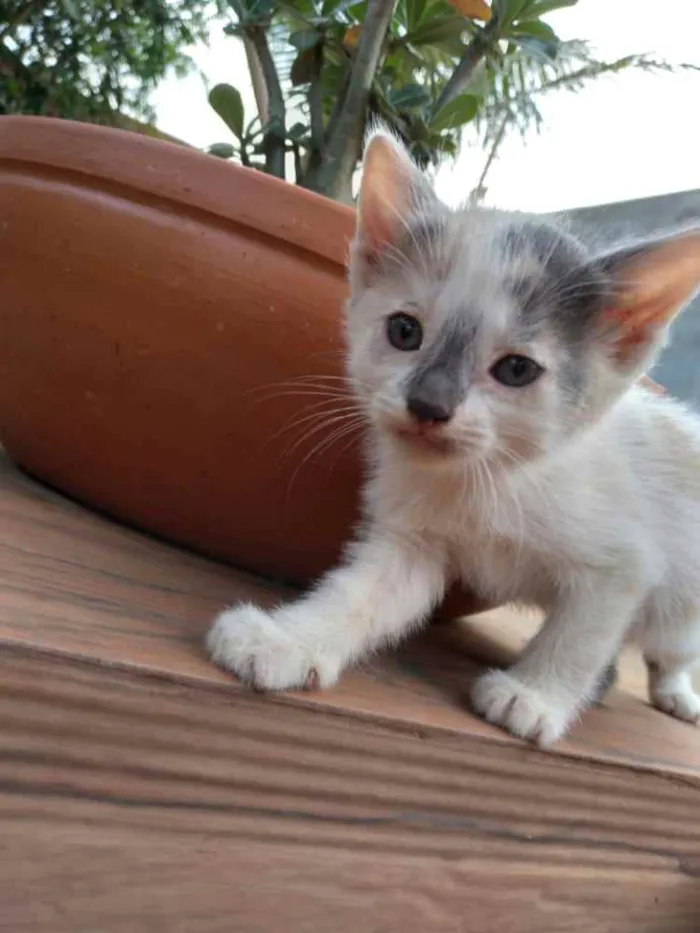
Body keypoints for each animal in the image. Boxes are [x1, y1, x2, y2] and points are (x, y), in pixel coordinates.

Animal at [205, 131, 700, 748]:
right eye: (404, 331)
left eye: (516, 369)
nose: (428, 405)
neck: (488, 479)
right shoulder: (413, 543)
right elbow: (361, 595)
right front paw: (286, 639)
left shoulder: (623, 565)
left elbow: (581, 636)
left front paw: (534, 696)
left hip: (682, 608)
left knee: (670, 647)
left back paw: (676, 694)